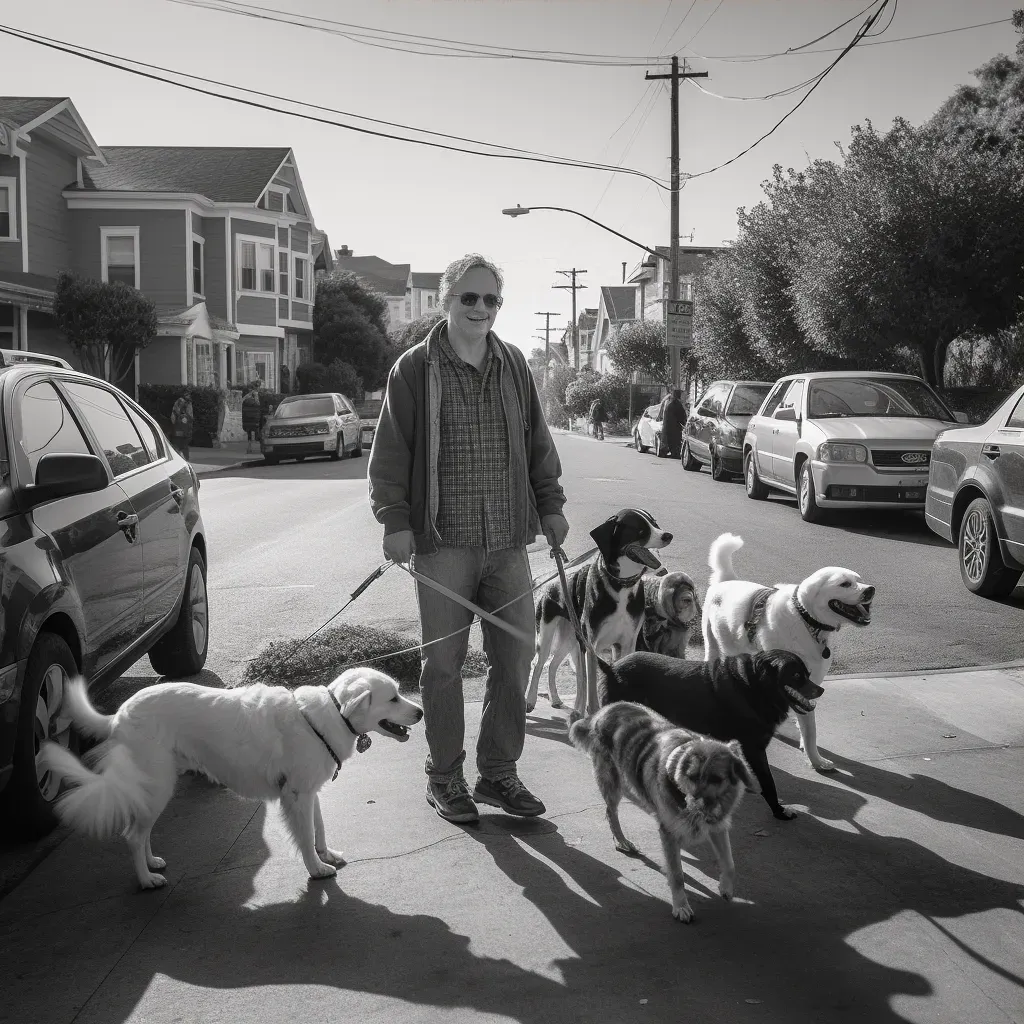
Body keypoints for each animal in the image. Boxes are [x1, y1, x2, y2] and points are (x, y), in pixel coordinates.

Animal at [40, 663, 419, 888]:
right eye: (393, 698)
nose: (420, 711)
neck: (332, 715)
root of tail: (119, 714)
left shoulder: (310, 792)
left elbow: (319, 828)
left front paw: (326, 855)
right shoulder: (296, 796)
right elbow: (306, 835)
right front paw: (316, 869)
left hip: (154, 787)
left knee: (139, 831)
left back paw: (152, 863)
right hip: (158, 785)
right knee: (133, 834)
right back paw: (147, 879)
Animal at [528, 505, 671, 716]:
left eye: (655, 523)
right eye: (641, 529)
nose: (668, 535)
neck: (621, 586)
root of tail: (551, 580)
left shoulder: (626, 644)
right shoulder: (590, 646)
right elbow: (589, 685)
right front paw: (590, 710)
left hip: (570, 639)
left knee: (554, 665)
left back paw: (556, 699)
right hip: (547, 636)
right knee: (538, 665)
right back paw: (530, 700)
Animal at [573, 700, 757, 925]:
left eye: (716, 779)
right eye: (692, 776)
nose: (694, 805)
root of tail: (603, 711)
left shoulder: (718, 827)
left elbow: (730, 863)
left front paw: (726, 888)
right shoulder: (669, 833)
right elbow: (677, 875)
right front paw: (681, 906)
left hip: (629, 782)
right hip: (613, 782)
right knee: (611, 812)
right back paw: (622, 841)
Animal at [598, 651, 827, 819]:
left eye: (808, 673)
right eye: (796, 676)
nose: (821, 690)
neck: (754, 687)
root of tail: (610, 668)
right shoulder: (755, 749)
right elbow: (769, 783)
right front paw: (779, 812)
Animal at [704, 536, 880, 770]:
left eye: (859, 580)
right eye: (845, 584)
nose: (871, 589)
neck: (807, 620)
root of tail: (727, 580)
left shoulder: (808, 683)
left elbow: (809, 726)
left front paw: (814, 757)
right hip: (712, 646)